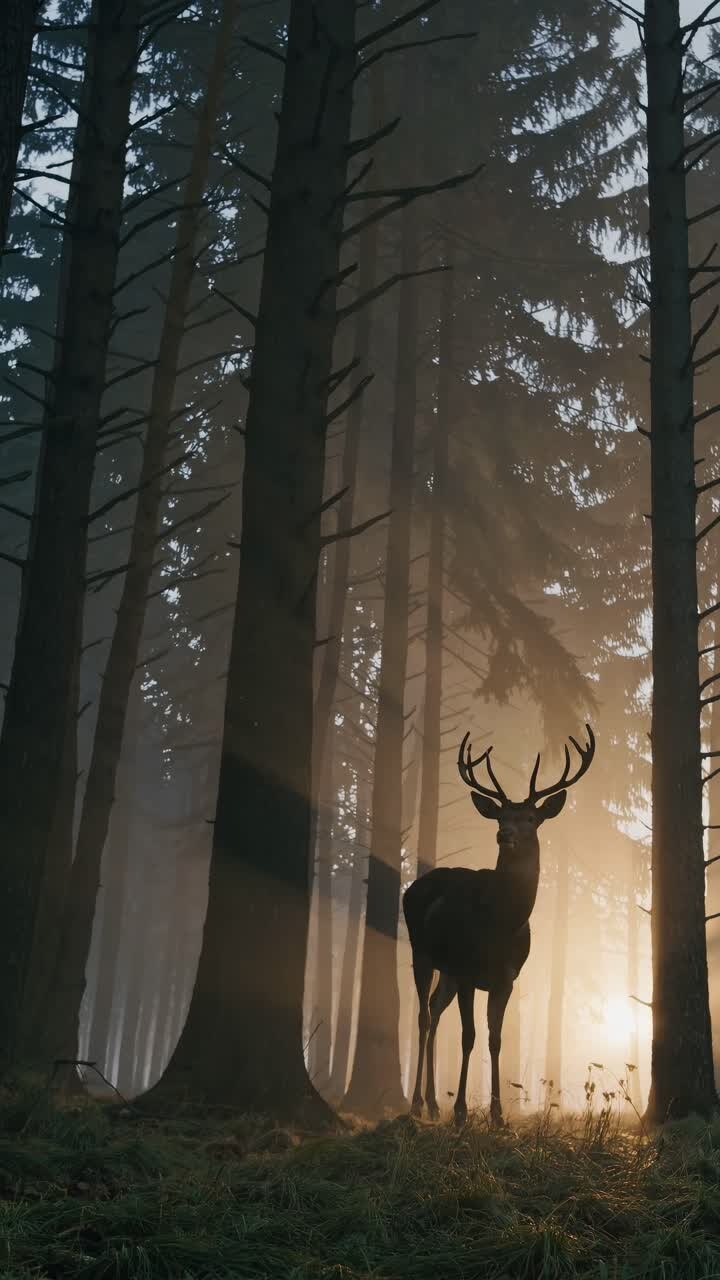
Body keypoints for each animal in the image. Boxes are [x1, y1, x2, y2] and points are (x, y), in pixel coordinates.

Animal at [403, 724, 595, 1127]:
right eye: (499, 817)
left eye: (531, 819)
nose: (504, 834)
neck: (501, 925)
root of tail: (413, 887)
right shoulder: (468, 969)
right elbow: (469, 1036)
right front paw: (462, 1111)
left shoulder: (506, 978)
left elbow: (495, 1039)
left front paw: (497, 1114)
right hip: (421, 951)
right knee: (424, 1016)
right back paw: (416, 1104)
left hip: (448, 970)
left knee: (435, 1010)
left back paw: (433, 1103)